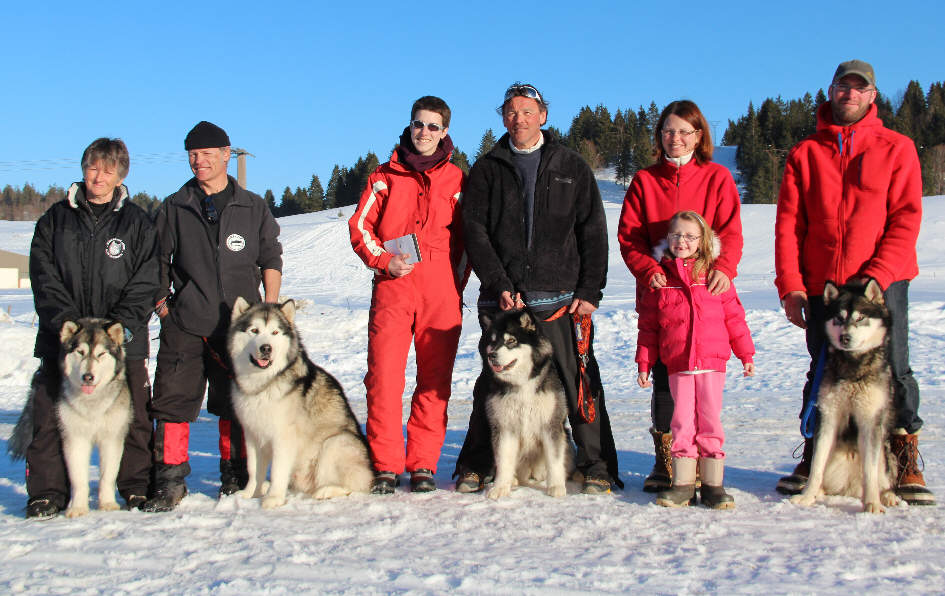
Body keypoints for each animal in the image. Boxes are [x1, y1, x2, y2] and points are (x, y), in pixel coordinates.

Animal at [9, 322, 132, 516]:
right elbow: (78, 478)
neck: (91, 403)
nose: (88, 377)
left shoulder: (111, 437)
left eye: (101, 354)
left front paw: (107, 504)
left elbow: (107, 476)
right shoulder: (75, 438)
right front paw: (78, 508)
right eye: (80, 352)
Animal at [229, 298, 372, 508]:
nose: (266, 348)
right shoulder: (252, 434)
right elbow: (253, 469)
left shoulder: (284, 435)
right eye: (254, 330)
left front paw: (273, 498)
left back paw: (326, 490)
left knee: (355, 485)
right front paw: (249, 494)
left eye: (275, 332)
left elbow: (278, 469)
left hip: (336, 443)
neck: (265, 383)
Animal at [480, 310, 568, 500]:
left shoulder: (551, 424)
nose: (492, 355)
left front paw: (556, 486)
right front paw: (500, 487)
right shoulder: (504, 425)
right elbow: (504, 459)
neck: (522, 384)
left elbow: (554, 458)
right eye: (493, 342)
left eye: (511, 341)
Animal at [792, 282, 896, 516]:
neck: (852, 366)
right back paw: (818, 491)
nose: (844, 338)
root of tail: (850, 487)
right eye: (839, 318)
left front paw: (873, 503)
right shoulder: (827, 416)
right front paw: (807, 496)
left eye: (860, 318)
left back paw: (887, 495)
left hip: (886, 451)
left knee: (881, 476)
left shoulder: (870, 420)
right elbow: (817, 465)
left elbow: (870, 470)